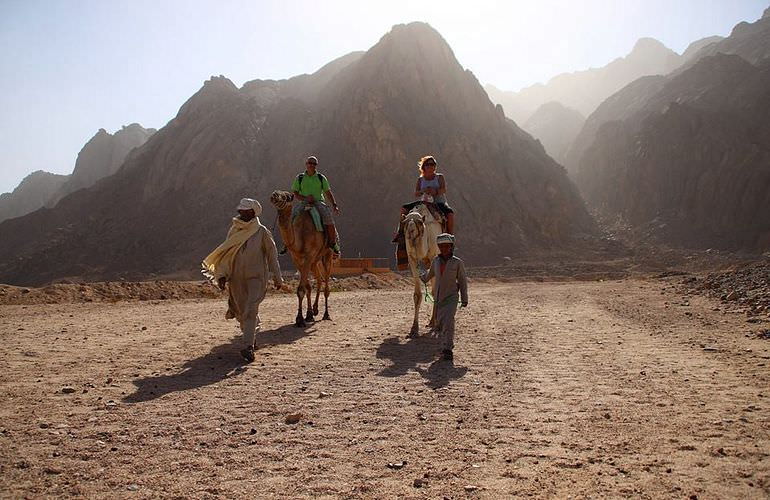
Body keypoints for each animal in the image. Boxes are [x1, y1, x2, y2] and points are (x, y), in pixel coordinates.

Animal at [268, 189, 332, 326]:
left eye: (288, 196)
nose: (274, 194)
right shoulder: (297, 259)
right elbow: (306, 288)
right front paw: (307, 315)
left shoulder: (308, 256)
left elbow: (302, 289)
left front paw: (300, 319)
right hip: (314, 261)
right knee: (319, 279)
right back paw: (315, 310)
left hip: (327, 255)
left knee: (326, 284)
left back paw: (326, 314)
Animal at [400, 203, 440, 336]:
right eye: (404, 223)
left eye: (419, 223)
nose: (410, 231)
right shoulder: (412, 259)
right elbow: (417, 295)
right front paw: (414, 329)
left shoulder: (434, 257)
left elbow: (436, 291)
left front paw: (437, 324)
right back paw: (431, 321)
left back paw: (434, 322)